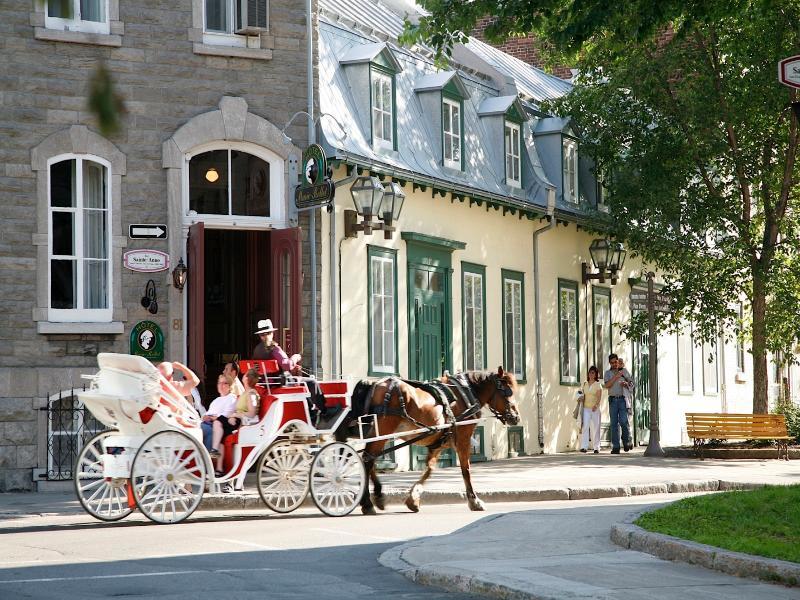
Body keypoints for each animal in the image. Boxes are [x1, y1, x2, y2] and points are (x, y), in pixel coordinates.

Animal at [340, 368, 520, 512]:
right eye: (507, 391)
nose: (516, 417)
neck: (465, 395)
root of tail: (375, 384)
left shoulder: (438, 442)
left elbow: (429, 469)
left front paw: (414, 499)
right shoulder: (463, 438)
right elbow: (466, 470)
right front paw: (474, 501)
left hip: (378, 434)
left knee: (369, 460)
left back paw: (376, 497)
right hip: (383, 431)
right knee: (368, 460)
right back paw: (368, 502)